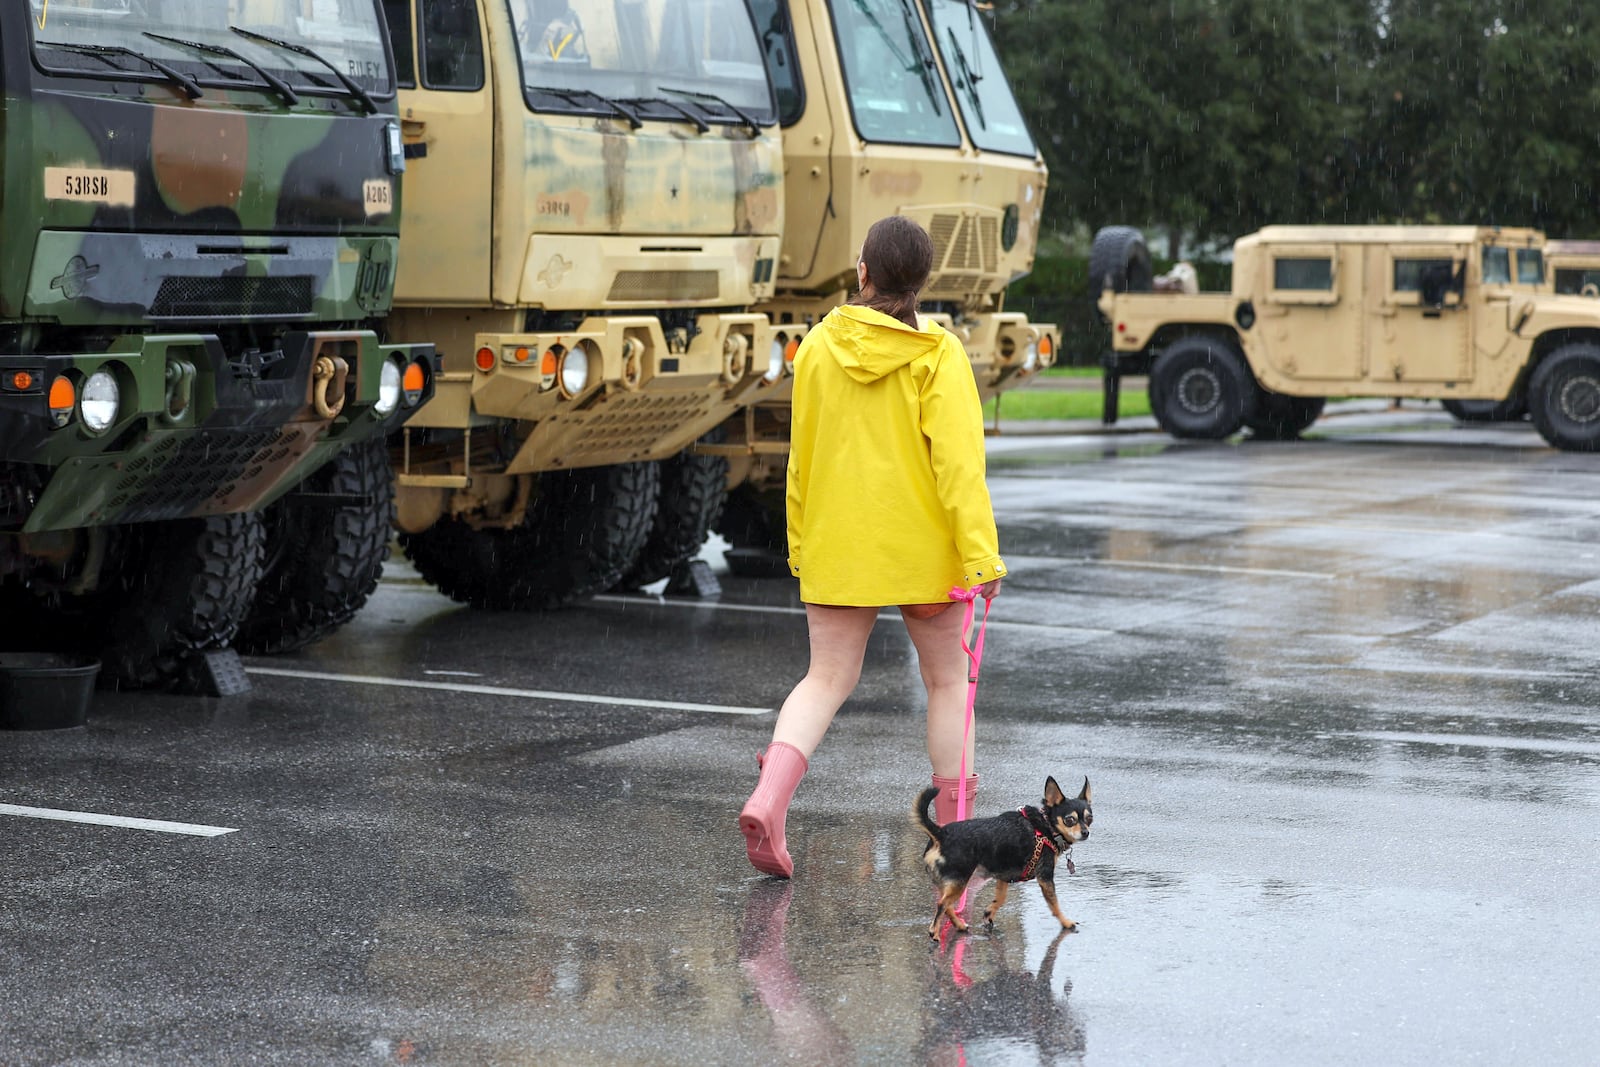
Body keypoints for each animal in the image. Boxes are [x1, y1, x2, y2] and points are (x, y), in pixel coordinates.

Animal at [921, 771, 1094, 940]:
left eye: (1089, 818)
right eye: (1069, 820)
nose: (1086, 832)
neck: (1046, 826)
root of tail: (941, 834)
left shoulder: (1003, 876)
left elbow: (1001, 897)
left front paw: (989, 913)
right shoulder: (1045, 878)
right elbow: (1055, 905)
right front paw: (1066, 922)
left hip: (951, 883)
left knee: (946, 904)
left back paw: (959, 925)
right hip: (960, 881)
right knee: (942, 904)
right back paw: (934, 932)